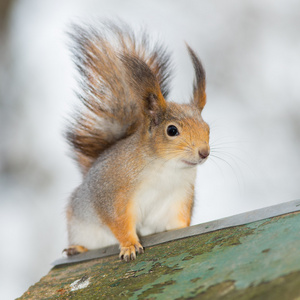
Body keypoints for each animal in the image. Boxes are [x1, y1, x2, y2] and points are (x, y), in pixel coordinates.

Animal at [63, 21, 209, 262]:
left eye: (207, 128)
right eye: (172, 130)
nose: (204, 152)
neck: (166, 168)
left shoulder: (179, 198)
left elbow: (178, 221)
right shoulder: (114, 193)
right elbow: (119, 222)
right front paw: (130, 245)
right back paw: (77, 248)